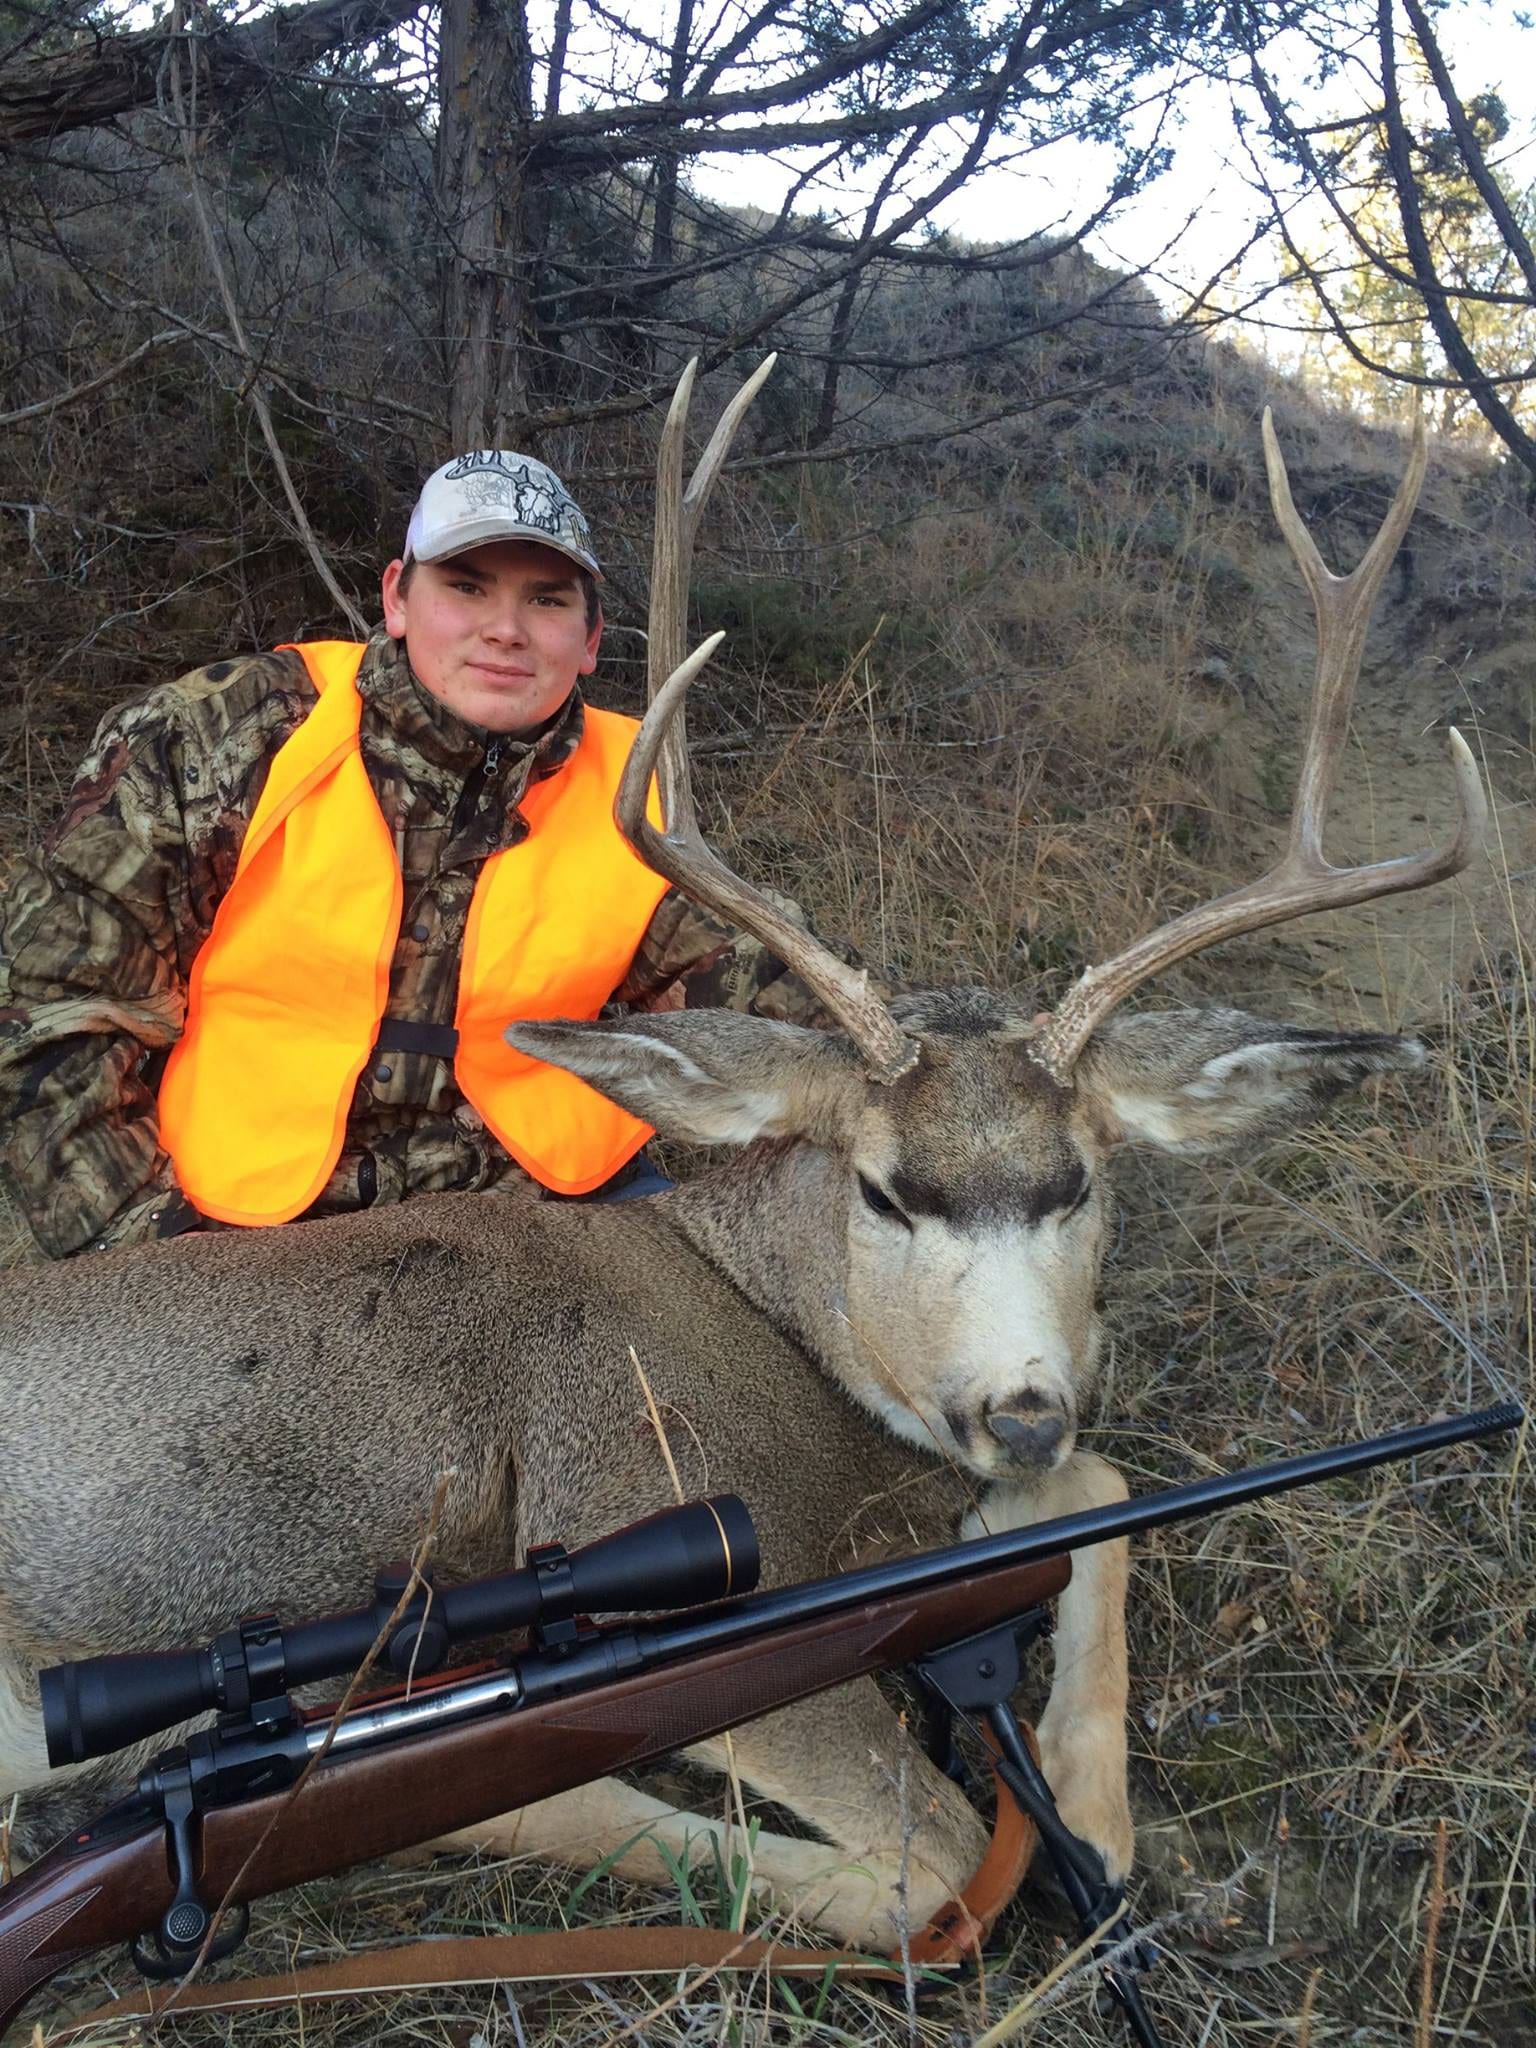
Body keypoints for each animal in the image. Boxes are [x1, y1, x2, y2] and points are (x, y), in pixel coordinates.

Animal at [0, 364, 1486, 1955]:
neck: (773, 1332)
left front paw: (1094, 1812)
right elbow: (937, 1851)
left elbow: (1106, 1495)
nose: (1023, 1406)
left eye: (1080, 1184)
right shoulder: (652, 1528)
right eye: (886, 1190)